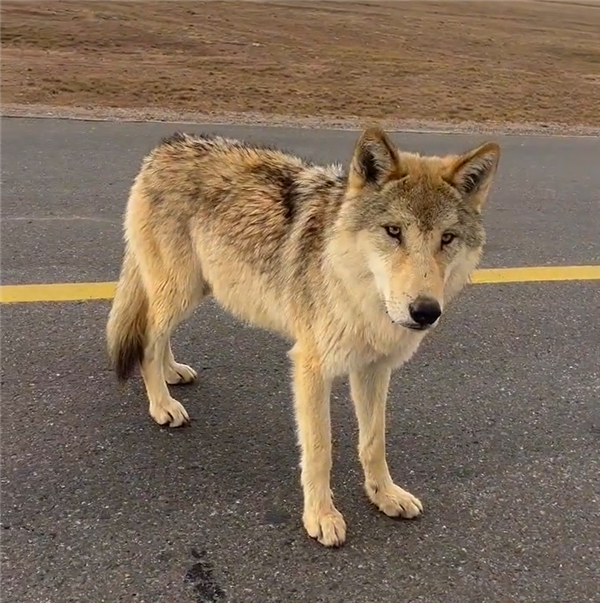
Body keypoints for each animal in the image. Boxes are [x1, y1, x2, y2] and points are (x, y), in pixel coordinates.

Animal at [106, 127, 502, 548]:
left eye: (447, 238)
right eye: (394, 231)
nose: (425, 312)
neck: (356, 290)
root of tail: (166, 146)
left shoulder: (374, 370)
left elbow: (374, 442)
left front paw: (384, 495)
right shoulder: (311, 367)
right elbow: (319, 450)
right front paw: (321, 516)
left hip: (195, 290)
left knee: (158, 334)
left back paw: (171, 374)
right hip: (179, 290)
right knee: (148, 339)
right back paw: (162, 404)